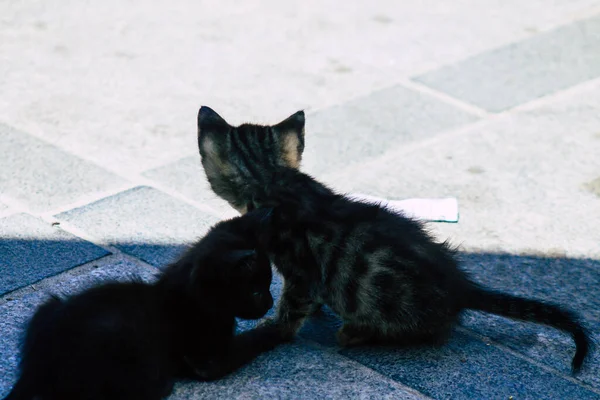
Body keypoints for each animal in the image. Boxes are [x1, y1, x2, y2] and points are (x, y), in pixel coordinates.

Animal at [3, 209, 278, 400]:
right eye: (256, 291)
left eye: (268, 284)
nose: (271, 301)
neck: (193, 296)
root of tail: (36, 367)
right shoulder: (206, 360)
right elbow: (248, 343)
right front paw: (276, 329)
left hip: (47, 306)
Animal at [198, 105, 596, 372]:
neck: (274, 180)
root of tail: (460, 286)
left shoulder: (300, 269)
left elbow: (293, 306)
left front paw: (276, 329)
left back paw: (356, 332)